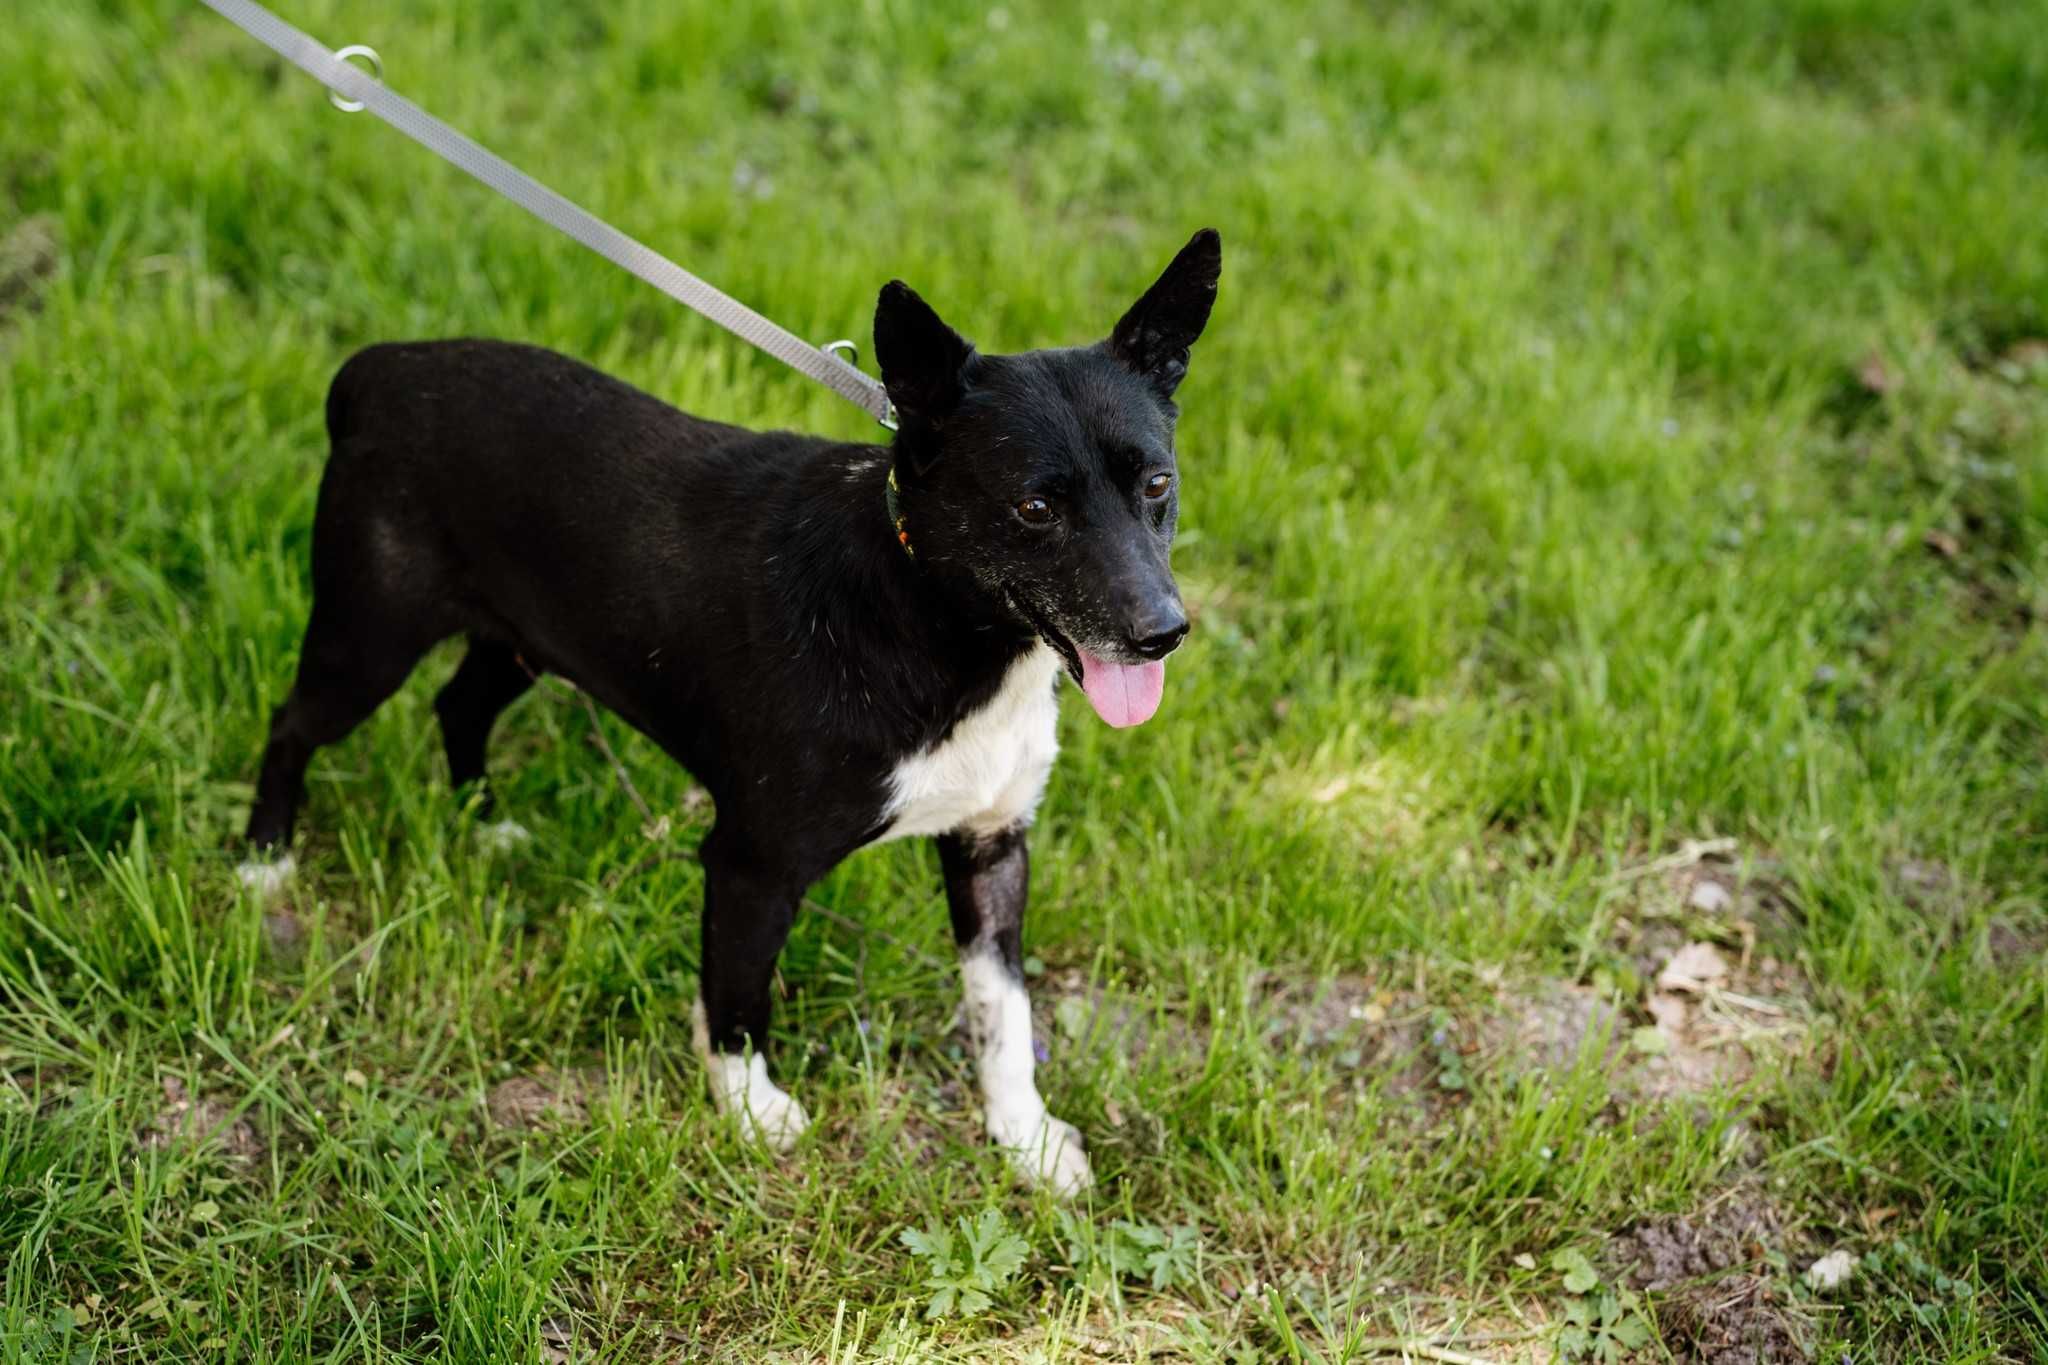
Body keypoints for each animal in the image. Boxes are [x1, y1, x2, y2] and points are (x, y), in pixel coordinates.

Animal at [247, 229, 1220, 1186]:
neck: (935, 619)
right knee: (292, 723)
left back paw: (484, 822)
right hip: (368, 639)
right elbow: (740, 996)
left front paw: (1025, 1138)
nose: (1162, 633)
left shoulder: (993, 845)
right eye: (1034, 506)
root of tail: (376, 369)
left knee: (459, 705)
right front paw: (753, 1111)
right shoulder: (753, 865)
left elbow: (1003, 1014)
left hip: (520, 638)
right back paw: (264, 860)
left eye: (1157, 485)